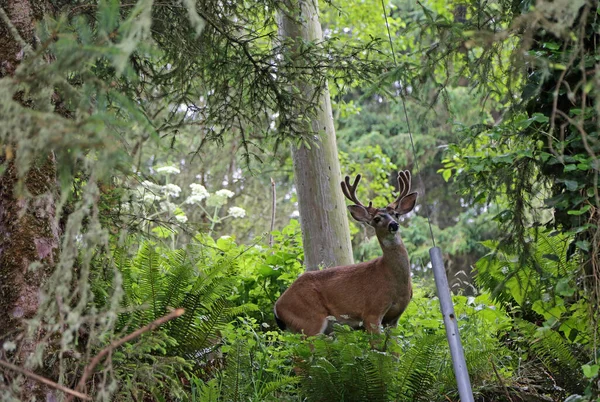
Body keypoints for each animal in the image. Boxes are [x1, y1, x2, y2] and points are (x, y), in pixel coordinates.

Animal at [274, 170, 418, 336]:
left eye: (396, 214)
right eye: (376, 219)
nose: (394, 225)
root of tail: (277, 308)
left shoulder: (393, 319)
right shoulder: (372, 311)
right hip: (310, 320)